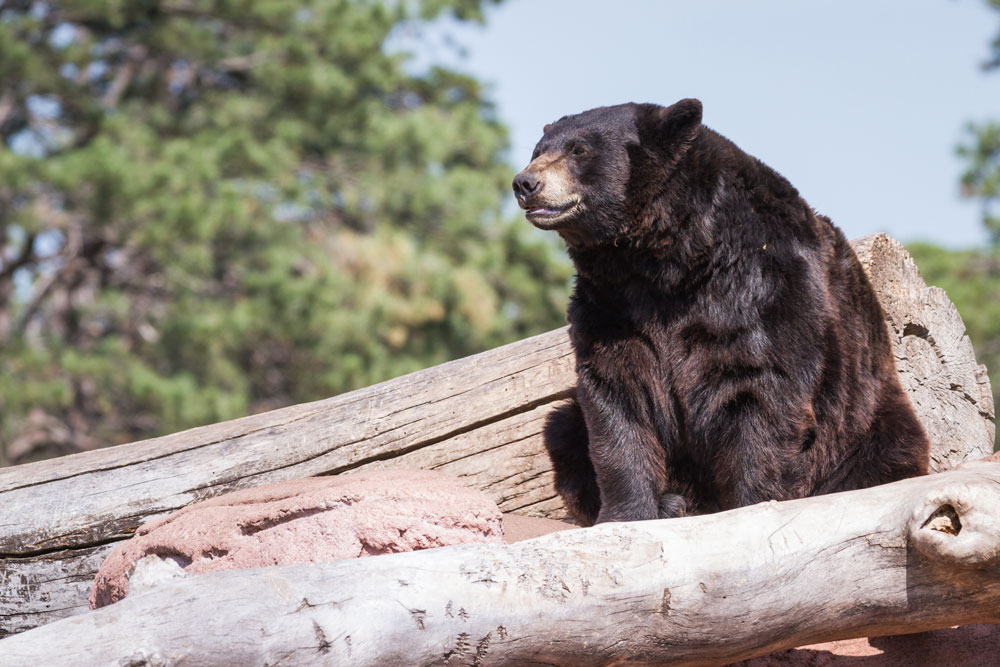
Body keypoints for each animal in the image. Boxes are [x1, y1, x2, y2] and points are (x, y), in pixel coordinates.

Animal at [512, 99, 930, 526]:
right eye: (538, 150)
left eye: (580, 150)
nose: (525, 183)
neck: (663, 262)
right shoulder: (611, 308)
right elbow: (616, 397)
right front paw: (626, 513)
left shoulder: (758, 290)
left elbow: (762, 391)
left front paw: (753, 503)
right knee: (561, 426)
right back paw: (674, 503)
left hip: (867, 417)